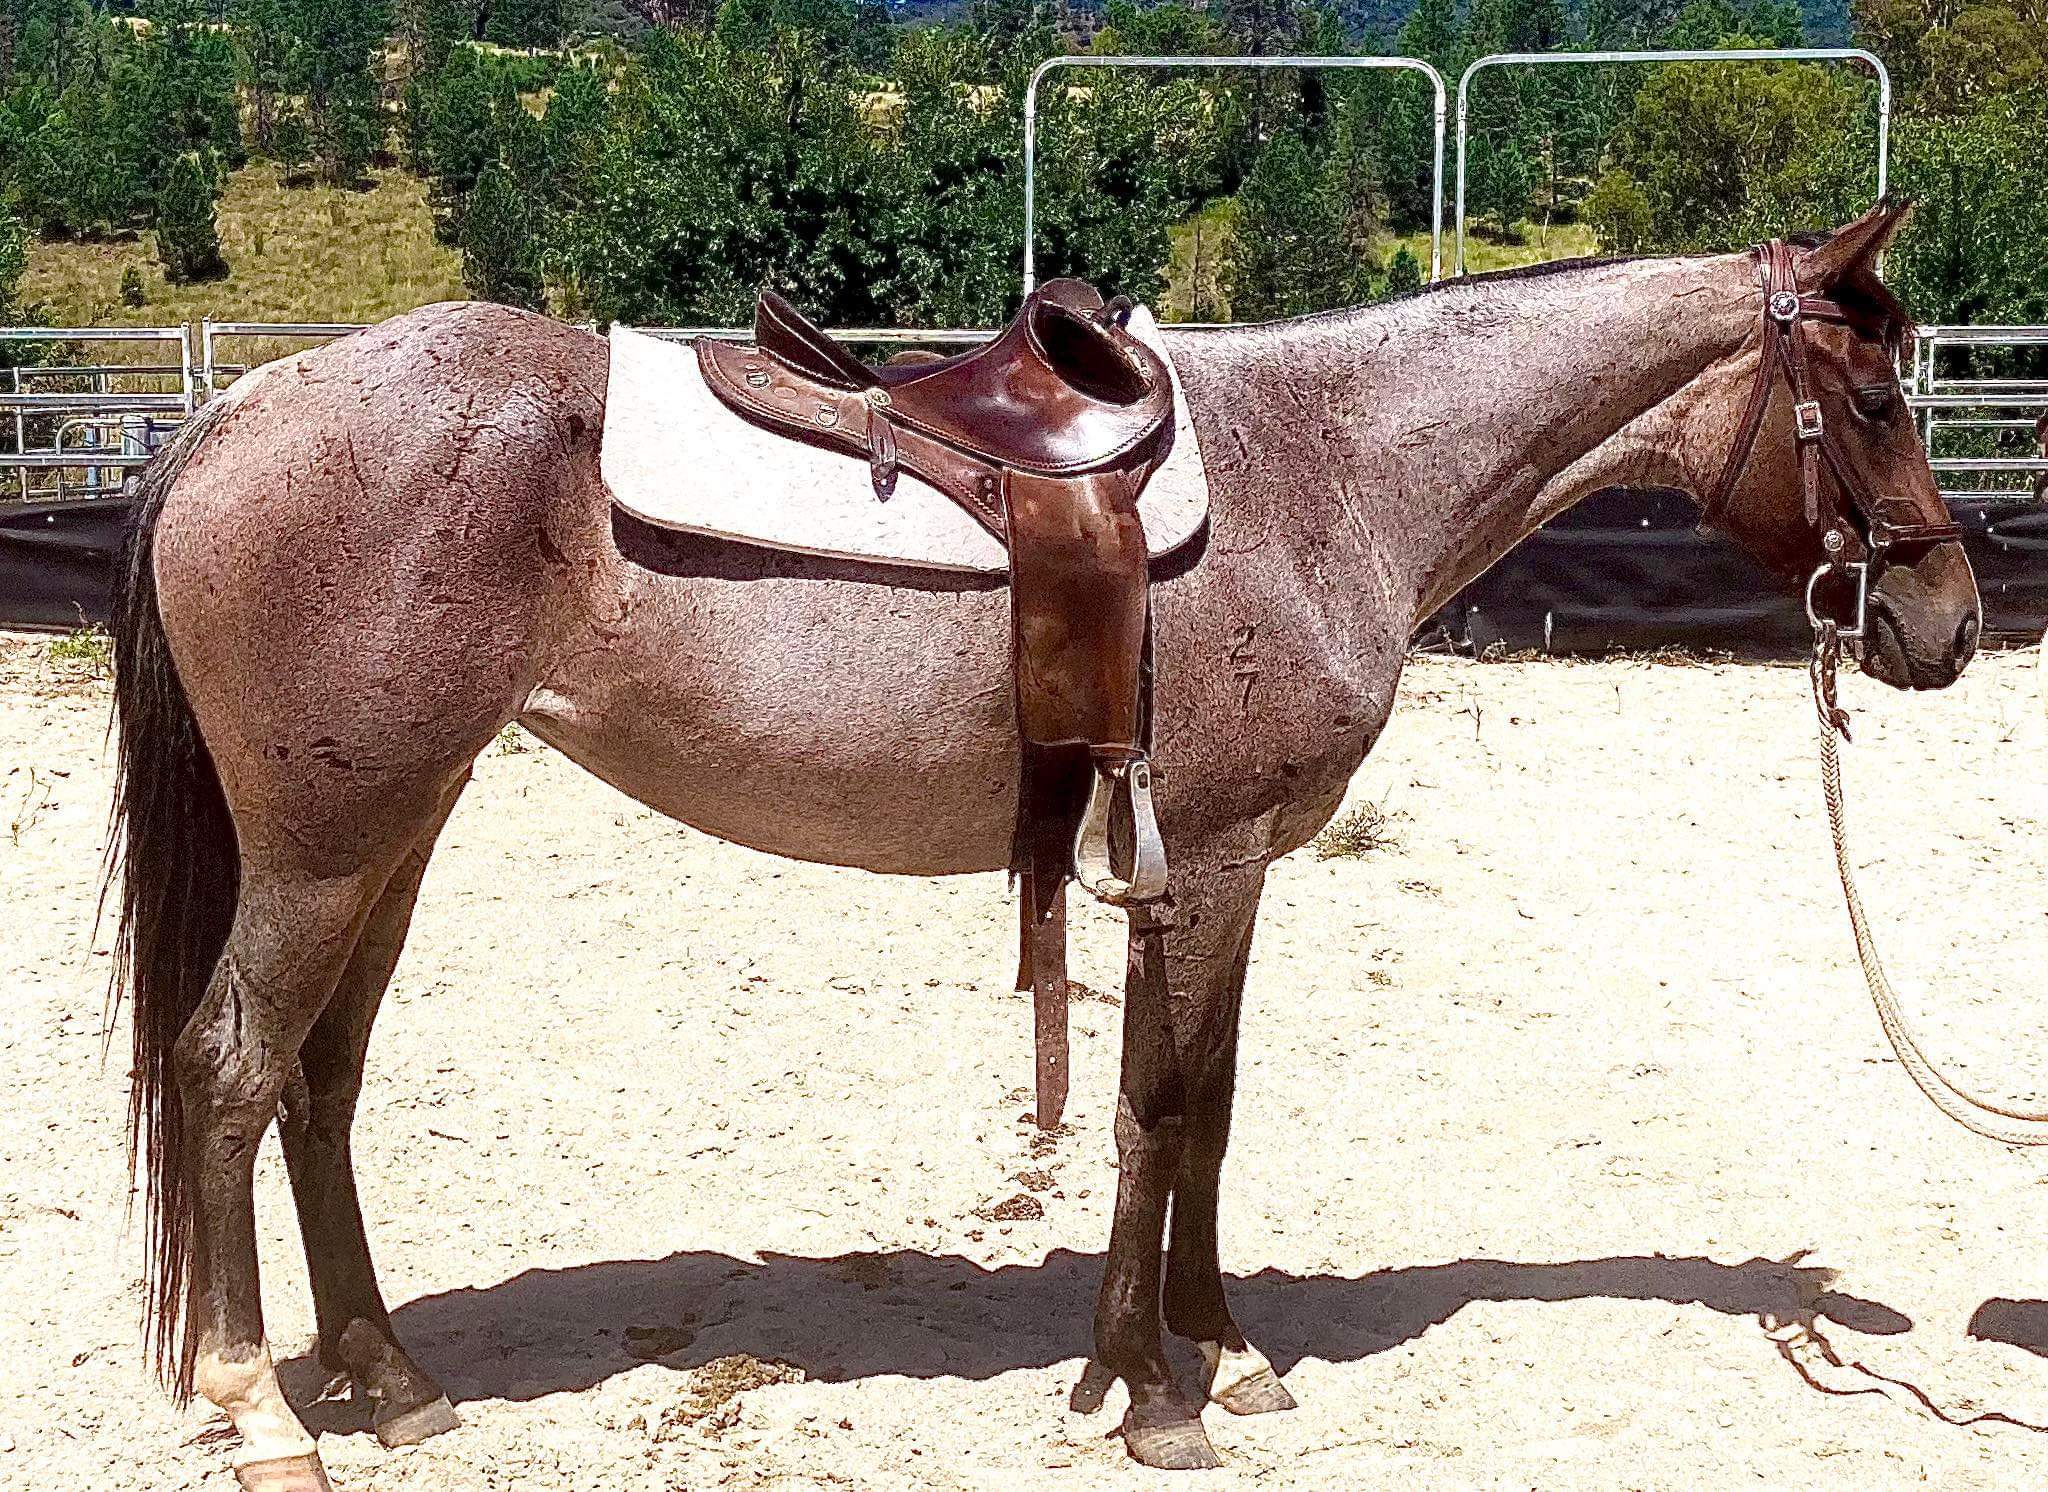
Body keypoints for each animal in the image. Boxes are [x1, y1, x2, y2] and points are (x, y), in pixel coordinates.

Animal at [105, 201, 1978, 1486]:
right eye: (1875, 394)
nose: (1949, 620)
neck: (1332, 469)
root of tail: (237, 411)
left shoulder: (1230, 868)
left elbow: (1205, 1103)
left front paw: (1217, 1351)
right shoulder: (1203, 860)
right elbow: (1159, 1107)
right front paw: (1144, 1393)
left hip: (394, 832)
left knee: (322, 1080)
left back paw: (385, 1376)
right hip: (328, 846)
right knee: (227, 1068)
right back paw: (257, 1406)